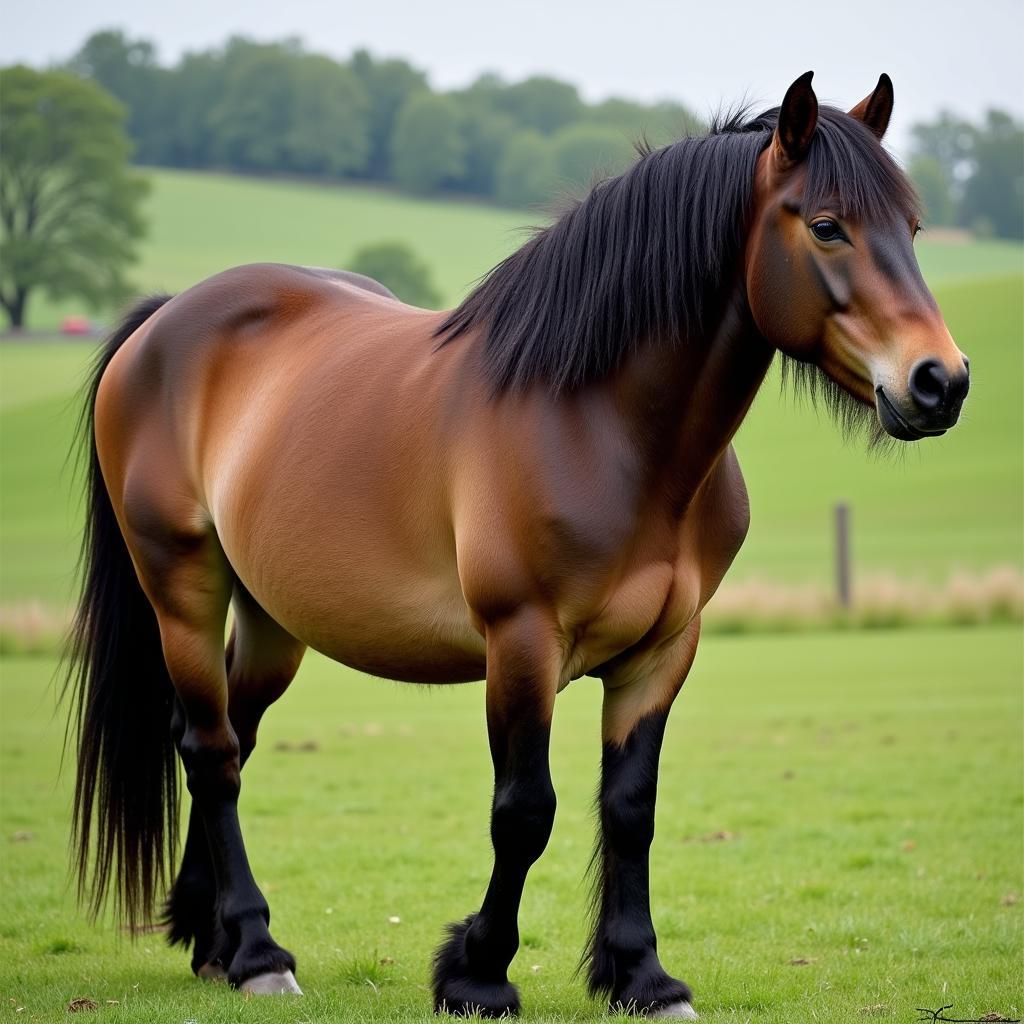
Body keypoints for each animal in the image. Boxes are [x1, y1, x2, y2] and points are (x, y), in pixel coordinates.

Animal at [64, 72, 966, 1015]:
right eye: (827, 225)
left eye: (912, 228)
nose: (940, 382)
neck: (599, 425)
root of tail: (165, 322)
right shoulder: (522, 643)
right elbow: (525, 811)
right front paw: (477, 972)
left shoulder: (662, 653)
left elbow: (630, 807)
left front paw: (642, 976)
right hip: (182, 588)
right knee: (211, 754)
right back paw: (258, 953)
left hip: (274, 617)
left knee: (229, 736)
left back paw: (214, 939)